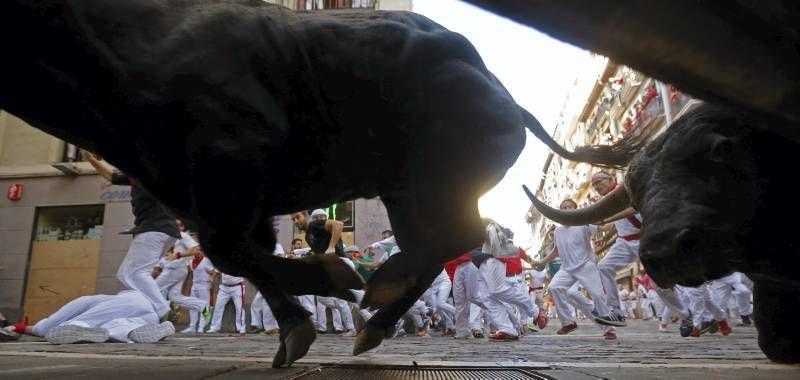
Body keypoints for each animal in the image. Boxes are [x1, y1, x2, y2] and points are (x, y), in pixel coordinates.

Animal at [0, 0, 568, 368]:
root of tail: (504, 96)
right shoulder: (211, 197)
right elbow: (247, 258)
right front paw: (298, 325)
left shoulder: (231, 172)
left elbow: (239, 255)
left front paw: (330, 284)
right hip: (408, 193)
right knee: (436, 244)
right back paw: (377, 313)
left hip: (433, 182)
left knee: (450, 239)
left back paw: (380, 296)